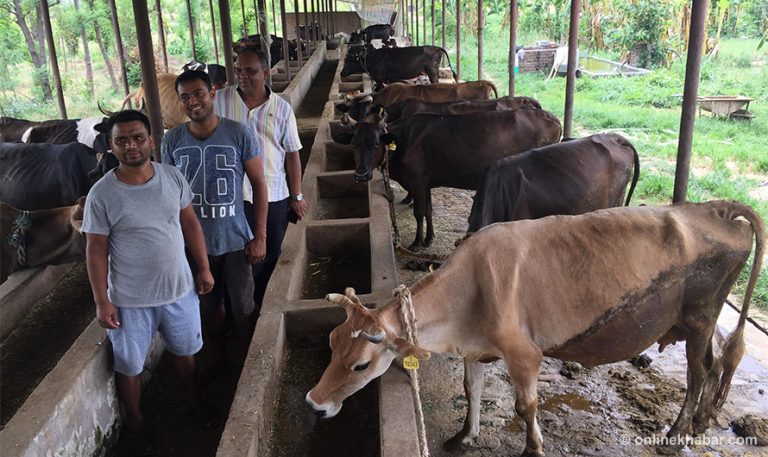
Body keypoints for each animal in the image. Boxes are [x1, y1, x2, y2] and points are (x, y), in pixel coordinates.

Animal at [306, 201, 760, 456]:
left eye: (361, 365)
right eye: (330, 343)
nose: (314, 403)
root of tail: (713, 207)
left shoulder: (524, 354)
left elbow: (526, 406)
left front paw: (532, 449)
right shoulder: (475, 349)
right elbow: (471, 391)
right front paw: (464, 437)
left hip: (700, 313)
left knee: (699, 372)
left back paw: (676, 434)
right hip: (699, 320)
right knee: (715, 362)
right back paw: (702, 420)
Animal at [352, 108, 560, 248]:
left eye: (376, 143)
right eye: (353, 143)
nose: (361, 174)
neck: (404, 140)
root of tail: (551, 117)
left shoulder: (416, 180)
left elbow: (419, 213)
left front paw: (417, 243)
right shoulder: (426, 182)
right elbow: (428, 211)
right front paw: (429, 239)